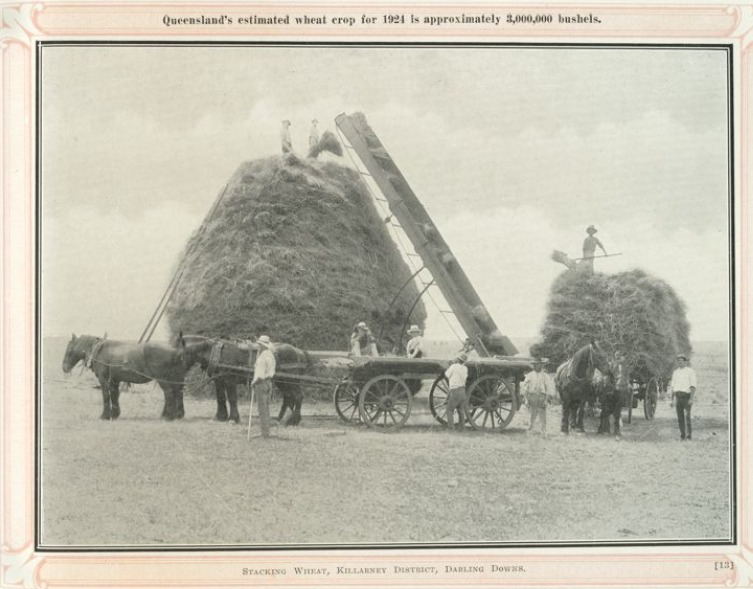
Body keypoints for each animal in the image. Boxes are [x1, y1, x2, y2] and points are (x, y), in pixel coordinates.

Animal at [61, 334, 195, 420]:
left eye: (69, 349)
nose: (64, 367)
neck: (99, 350)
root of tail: (176, 350)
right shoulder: (114, 381)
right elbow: (114, 395)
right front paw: (115, 414)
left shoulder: (104, 380)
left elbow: (106, 396)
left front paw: (105, 415)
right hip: (176, 378)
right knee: (178, 393)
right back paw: (178, 414)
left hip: (163, 379)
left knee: (169, 394)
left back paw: (168, 416)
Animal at [183, 336, 312, 422]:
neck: (217, 352)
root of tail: (298, 351)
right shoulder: (218, 381)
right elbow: (220, 398)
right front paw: (220, 417)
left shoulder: (230, 380)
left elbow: (232, 398)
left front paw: (233, 418)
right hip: (283, 382)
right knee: (288, 398)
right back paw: (281, 418)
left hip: (291, 381)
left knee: (298, 396)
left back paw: (293, 420)